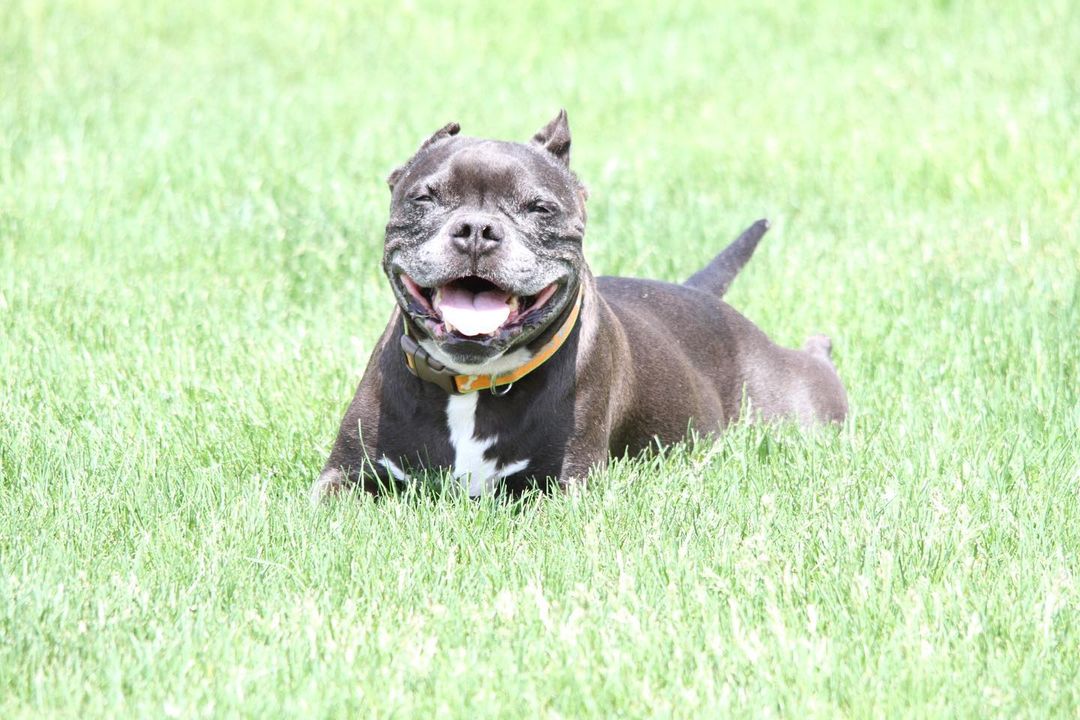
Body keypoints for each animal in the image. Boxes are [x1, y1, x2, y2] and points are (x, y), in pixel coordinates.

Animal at [311, 111, 842, 500]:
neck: (473, 383)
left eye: (540, 208)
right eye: (424, 197)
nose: (477, 230)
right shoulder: (343, 477)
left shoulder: (563, 487)